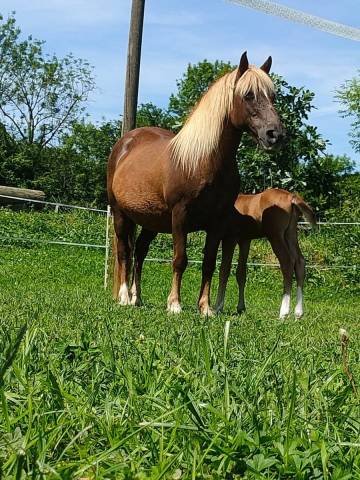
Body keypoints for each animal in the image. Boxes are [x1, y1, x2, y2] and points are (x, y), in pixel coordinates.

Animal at [107, 53, 284, 316]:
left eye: (272, 96)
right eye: (248, 95)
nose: (275, 135)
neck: (204, 161)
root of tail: (125, 142)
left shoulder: (218, 222)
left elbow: (209, 262)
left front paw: (205, 307)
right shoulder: (180, 216)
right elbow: (180, 259)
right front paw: (174, 304)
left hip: (151, 221)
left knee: (139, 252)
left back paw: (137, 297)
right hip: (120, 214)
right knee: (124, 252)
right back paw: (124, 296)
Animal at [215, 188, 316, 318]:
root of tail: (291, 197)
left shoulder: (230, 239)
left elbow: (224, 271)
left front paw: (218, 307)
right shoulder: (245, 240)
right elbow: (241, 273)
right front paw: (241, 308)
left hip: (275, 236)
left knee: (287, 263)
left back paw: (283, 312)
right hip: (290, 233)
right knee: (300, 262)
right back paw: (298, 312)